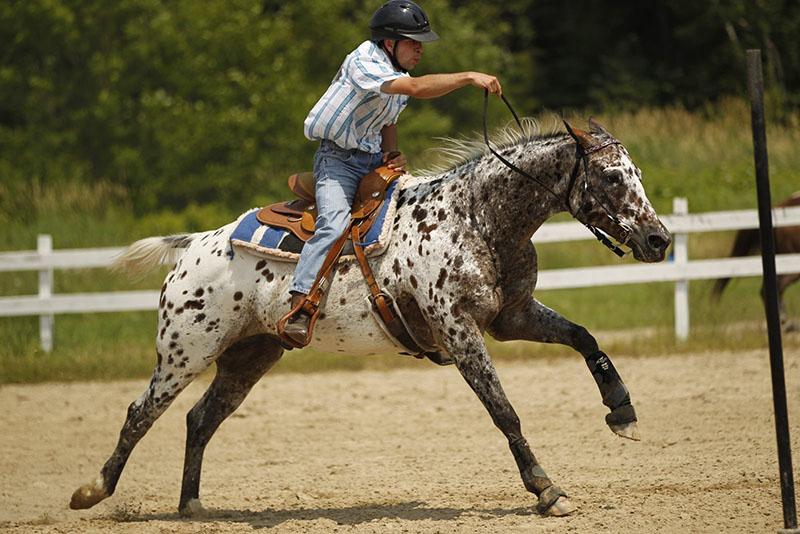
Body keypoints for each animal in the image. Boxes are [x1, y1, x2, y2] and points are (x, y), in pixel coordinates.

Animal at [69, 118, 672, 520]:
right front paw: (547, 489)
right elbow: (504, 410)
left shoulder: (513, 317)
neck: (476, 217)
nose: (658, 239)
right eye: (612, 177)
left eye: (638, 172)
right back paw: (92, 491)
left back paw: (193, 506)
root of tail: (194, 245)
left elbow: (584, 337)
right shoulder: (459, 331)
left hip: (249, 356)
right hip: (185, 351)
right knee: (140, 414)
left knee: (200, 419)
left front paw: (622, 410)